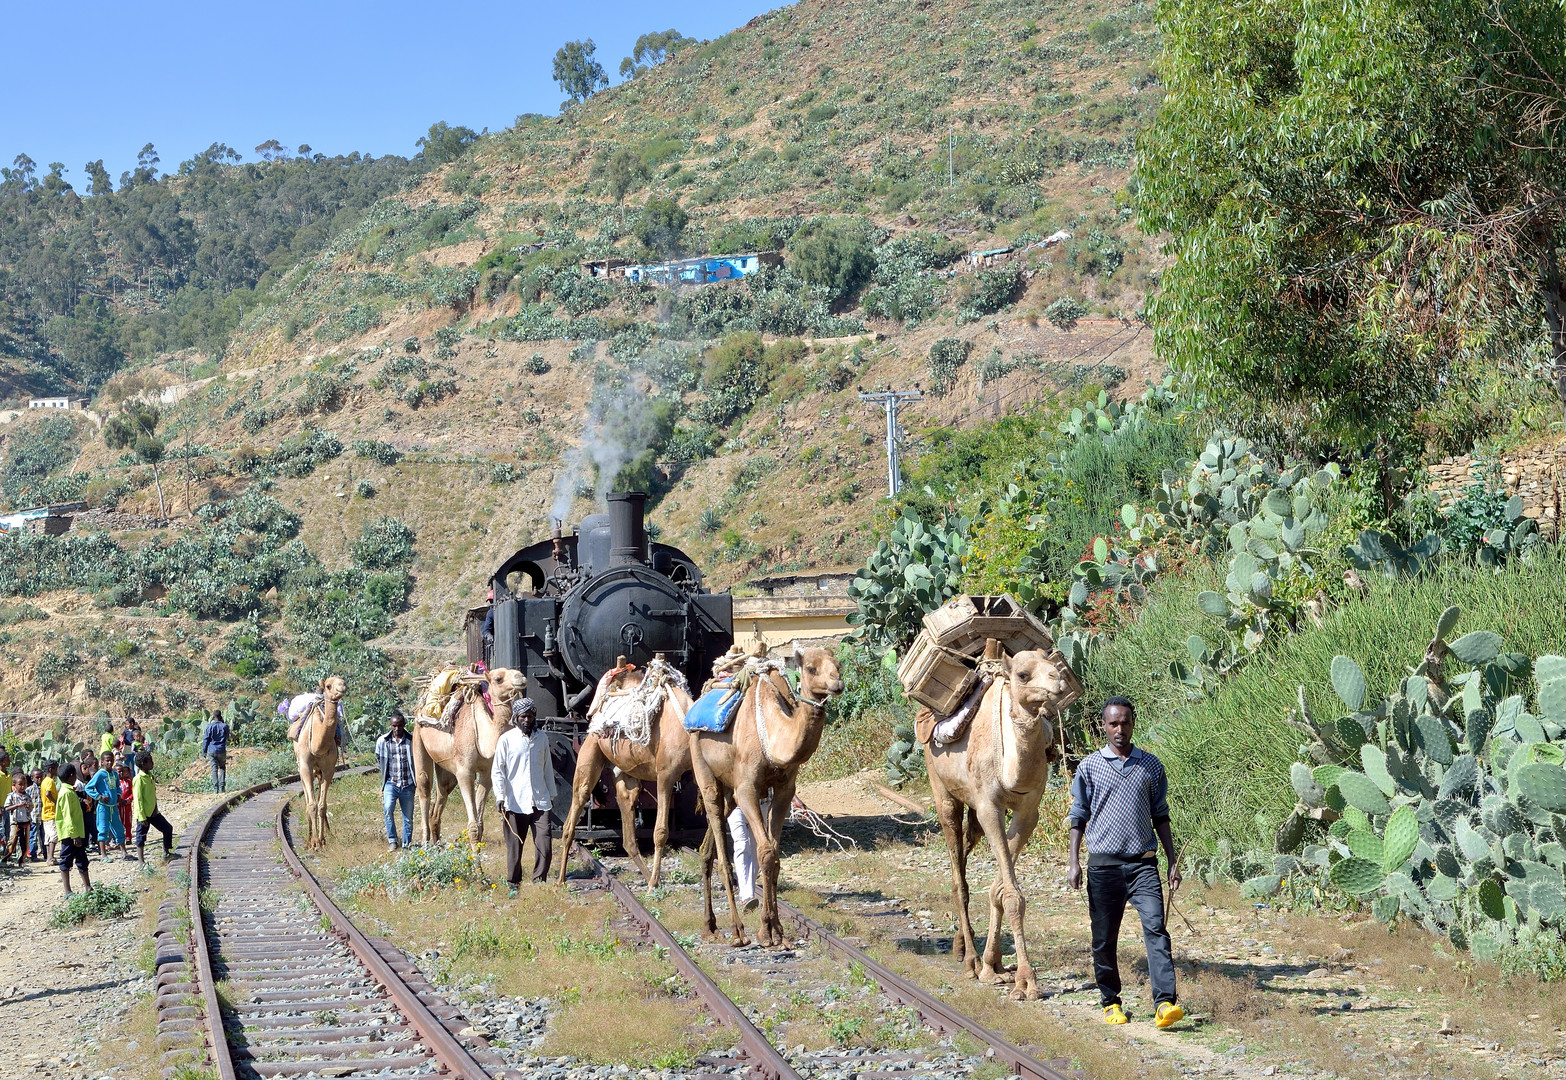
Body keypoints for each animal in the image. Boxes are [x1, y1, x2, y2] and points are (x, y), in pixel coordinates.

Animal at [292, 676, 347, 845]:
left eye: (343, 681)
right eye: (328, 686)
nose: (342, 687)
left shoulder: (329, 769)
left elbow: (322, 805)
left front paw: (322, 840)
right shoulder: (305, 765)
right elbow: (312, 805)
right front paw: (315, 841)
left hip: (319, 771)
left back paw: (327, 832)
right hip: (301, 766)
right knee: (308, 798)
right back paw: (309, 837)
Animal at [410, 663, 526, 851]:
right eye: (498, 679)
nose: (521, 677)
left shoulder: (487, 773)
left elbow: (479, 825)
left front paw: (478, 860)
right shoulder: (465, 772)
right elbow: (472, 826)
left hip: (446, 765)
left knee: (442, 791)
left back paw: (437, 846)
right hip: (418, 736)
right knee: (424, 784)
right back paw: (426, 845)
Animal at [557, 663, 692, 882]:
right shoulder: (666, 775)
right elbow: (660, 831)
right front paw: (654, 883)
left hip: (623, 770)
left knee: (628, 825)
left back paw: (647, 875)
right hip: (590, 749)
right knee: (575, 808)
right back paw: (561, 878)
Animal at [692, 644, 845, 945]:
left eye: (839, 665)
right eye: (810, 668)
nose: (837, 684)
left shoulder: (785, 789)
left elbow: (773, 855)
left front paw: (777, 930)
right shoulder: (746, 788)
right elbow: (764, 852)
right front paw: (765, 932)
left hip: (728, 790)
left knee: (707, 850)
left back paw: (710, 926)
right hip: (702, 764)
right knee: (720, 846)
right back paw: (737, 931)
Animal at [920, 644, 1083, 995]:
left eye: (1052, 663)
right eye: (1022, 674)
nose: (1059, 681)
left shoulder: (1028, 810)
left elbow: (1000, 889)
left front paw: (996, 967)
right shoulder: (988, 807)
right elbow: (1010, 894)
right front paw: (1025, 981)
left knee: (966, 855)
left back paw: (966, 949)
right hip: (942, 791)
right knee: (959, 878)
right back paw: (969, 961)